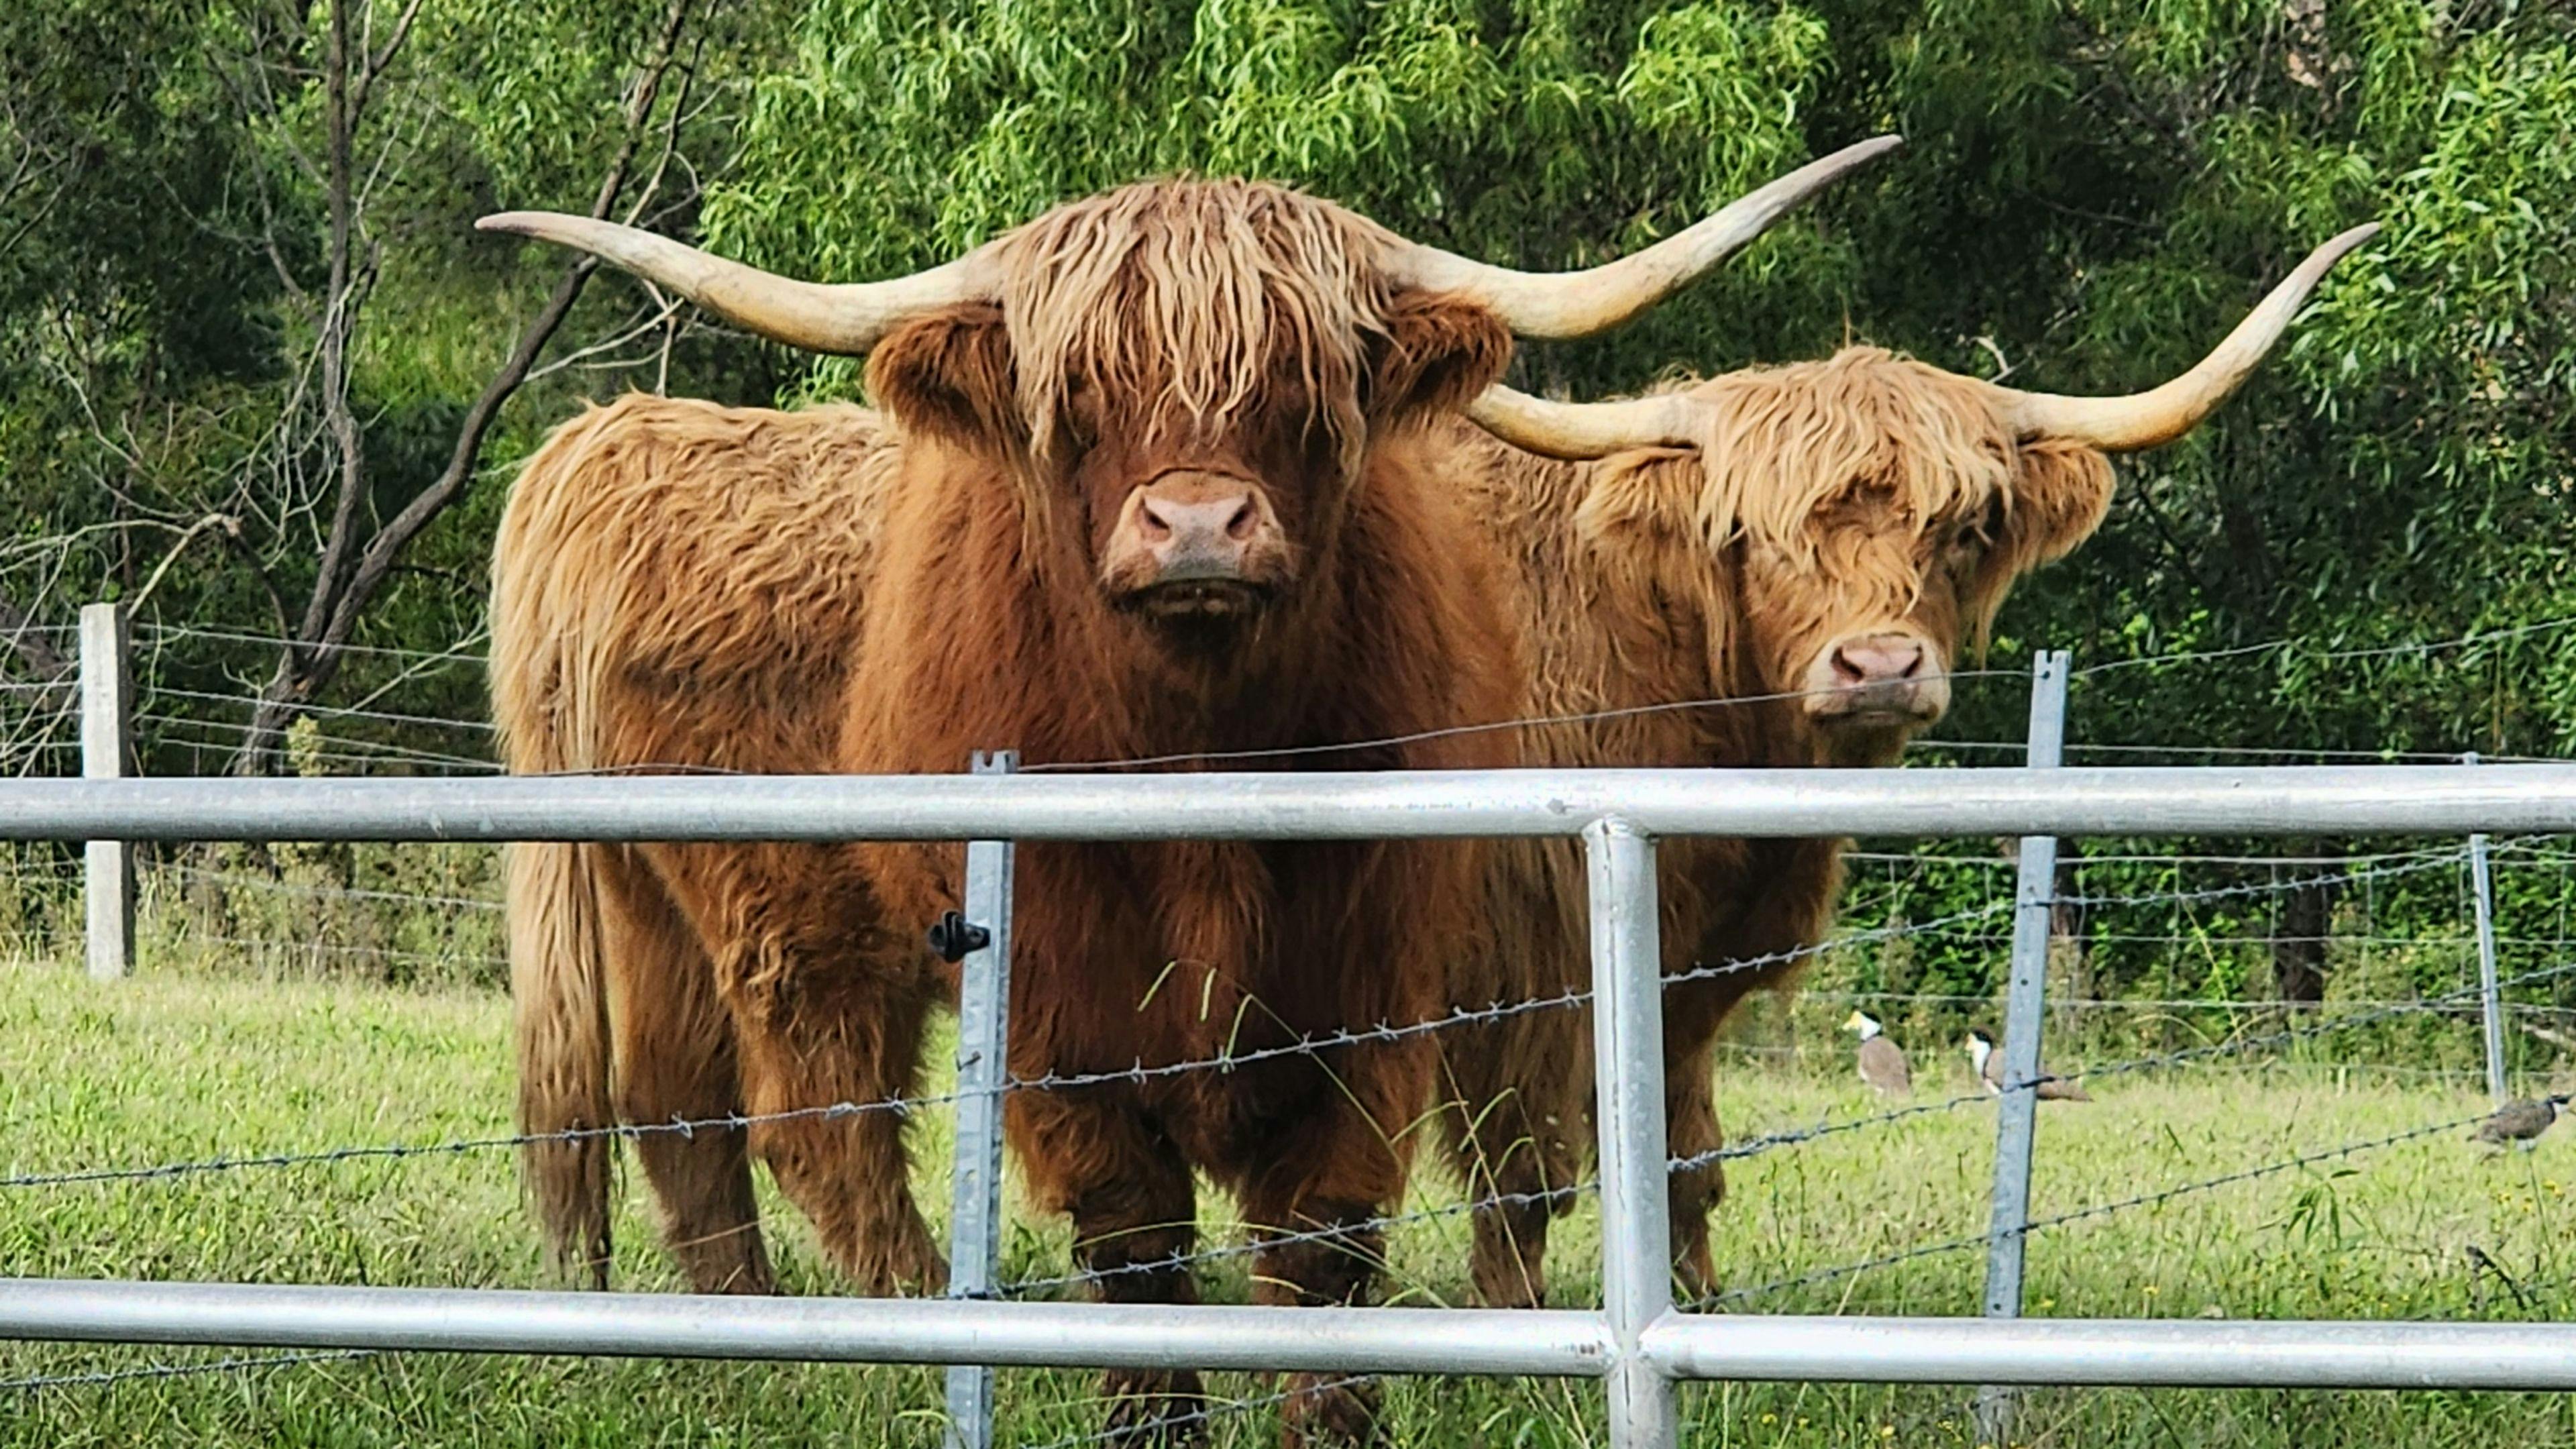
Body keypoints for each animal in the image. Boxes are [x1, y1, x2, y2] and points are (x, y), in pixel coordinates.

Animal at [482, 146, 1893, 1443]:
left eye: (1304, 387)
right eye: (1078, 397)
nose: (1200, 527)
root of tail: (613, 444)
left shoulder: (1382, 993)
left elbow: (1330, 1245)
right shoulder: (1061, 1021)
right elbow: (1139, 1244)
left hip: (651, 901)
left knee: (681, 1108)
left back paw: (749, 1332)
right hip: (793, 916)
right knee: (806, 1117)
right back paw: (906, 1321)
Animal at [1428, 224, 2378, 1309]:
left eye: (1961, 530)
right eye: (1755, 536)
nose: (1880, 666)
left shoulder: (1684, 971)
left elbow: (1685, 1162)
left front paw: (1700, 1306)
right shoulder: (1522, 974)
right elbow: (1523, 1180)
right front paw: (1513, 1328)